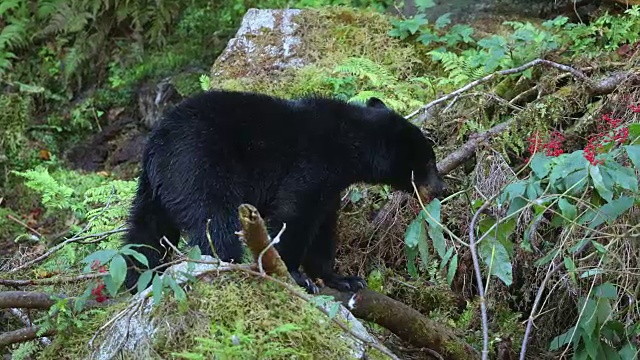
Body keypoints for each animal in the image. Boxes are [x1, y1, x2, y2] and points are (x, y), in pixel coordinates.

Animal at [124, 90, 444, 292]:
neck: (349, 143)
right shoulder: (312, 166)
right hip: (198, 164)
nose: (442, 188)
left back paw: (135, 280)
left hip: (154, 189)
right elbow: (294, 216)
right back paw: (230, 265)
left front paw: (343, 279)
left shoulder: (330, 186)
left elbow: (323, 228)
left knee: (143, 235)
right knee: (215, 222)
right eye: (429, 161)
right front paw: (295, 275)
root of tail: (156, 144)